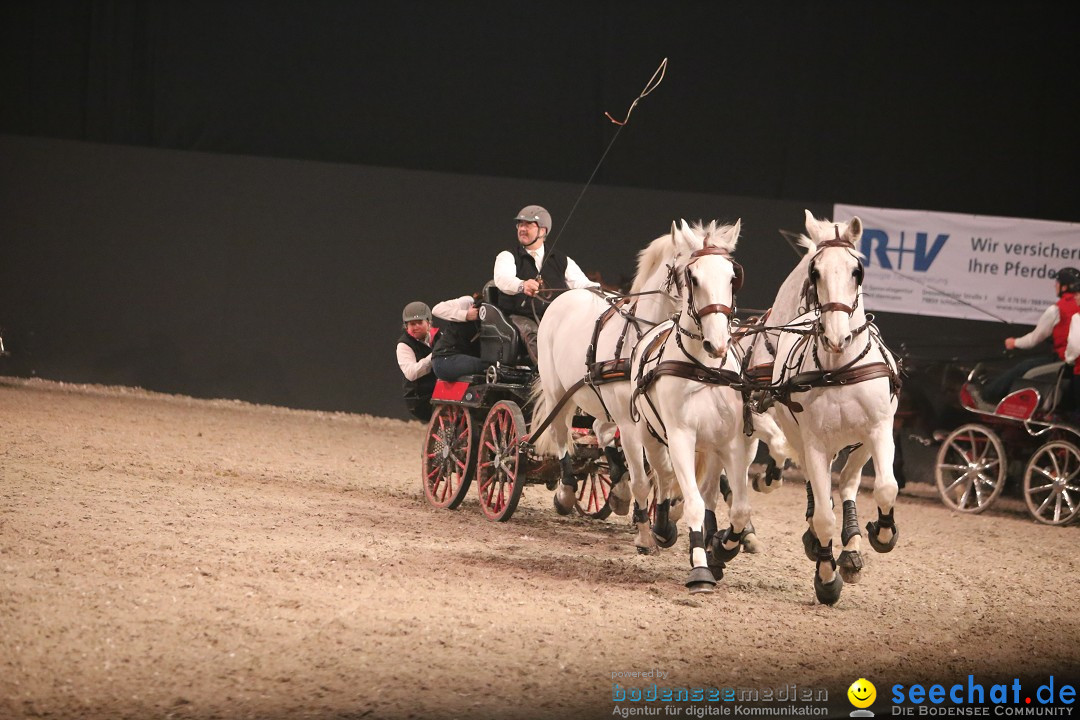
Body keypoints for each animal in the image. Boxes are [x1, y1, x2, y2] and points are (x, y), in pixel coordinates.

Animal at [531, 220, 743, 552]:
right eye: (691, 276)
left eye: (733, 277)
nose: (718, 340)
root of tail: (566, 296)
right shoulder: (635, 424)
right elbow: (646, 478)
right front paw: (648, 530)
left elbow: (664, 473)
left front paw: (667, 517)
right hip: (558, 393)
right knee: (562, 434)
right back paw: (566, 493)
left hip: (604, 404)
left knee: (600, 431)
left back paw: (618, 490)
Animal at [630, 225, 756, 591]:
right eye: (693, 277)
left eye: (732, 277)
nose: (718, 344)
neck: (704, 369)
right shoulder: (680, 437)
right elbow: (693, 504)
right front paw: (700, 568)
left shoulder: (732, 443)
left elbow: (739, 508)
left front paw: (723, 548)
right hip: (650, 435)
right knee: (662, 477)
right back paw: (660, 528)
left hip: (710, 449)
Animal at [768, 209, 902, 608]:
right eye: (816, 272)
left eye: (858, 271)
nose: (837, 336)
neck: (840, 369)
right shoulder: (813, 442)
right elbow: (824, 517)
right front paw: (826, 579)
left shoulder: (879, 430)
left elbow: (886, 488)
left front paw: (881, 533)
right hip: (802, 439)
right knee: (820, 491)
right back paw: (819, 543)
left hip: (861, 445)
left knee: (849, 483)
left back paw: (854, 547)